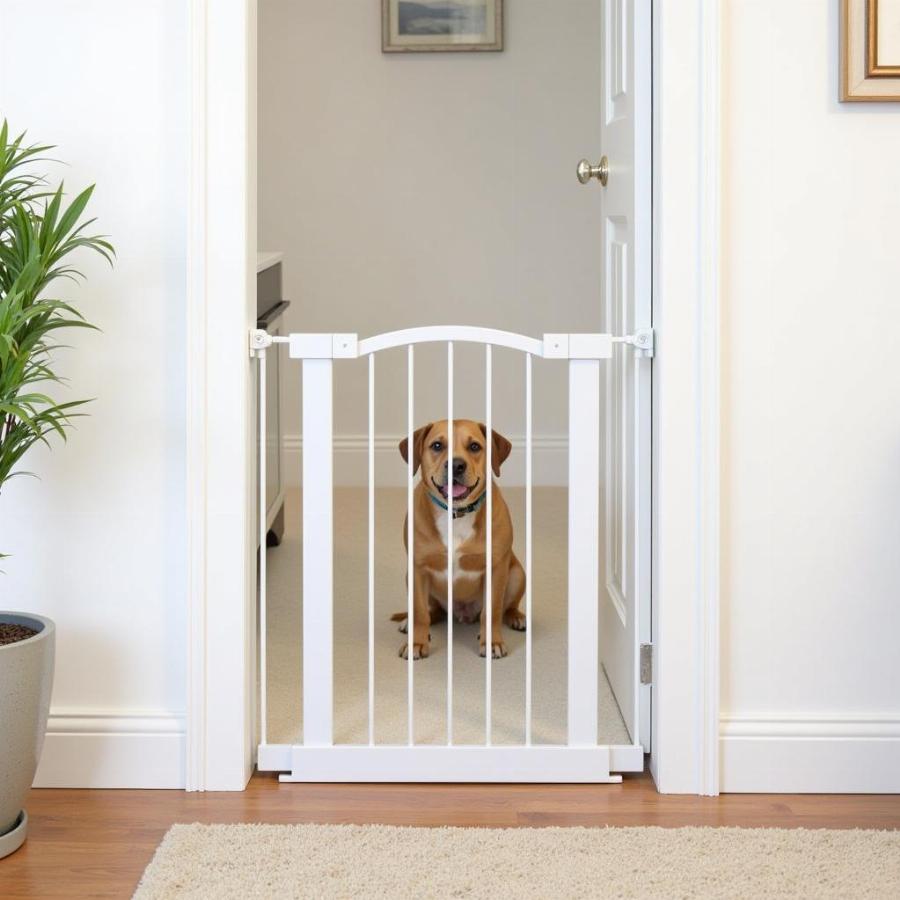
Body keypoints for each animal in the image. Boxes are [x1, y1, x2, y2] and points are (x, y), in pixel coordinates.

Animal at [394, 416, 528, 660]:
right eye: (437, 445)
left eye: (474, 446)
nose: (456, 465)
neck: (455, 515)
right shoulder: (418, 569)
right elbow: (420, 612)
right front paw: (417, 642)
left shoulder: (496, 568)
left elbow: (492, 611)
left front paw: (492, 641)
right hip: (412, 578)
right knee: (432, 611)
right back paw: (409, 623)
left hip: (516, 573)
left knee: (507, 607)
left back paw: (516, 617)